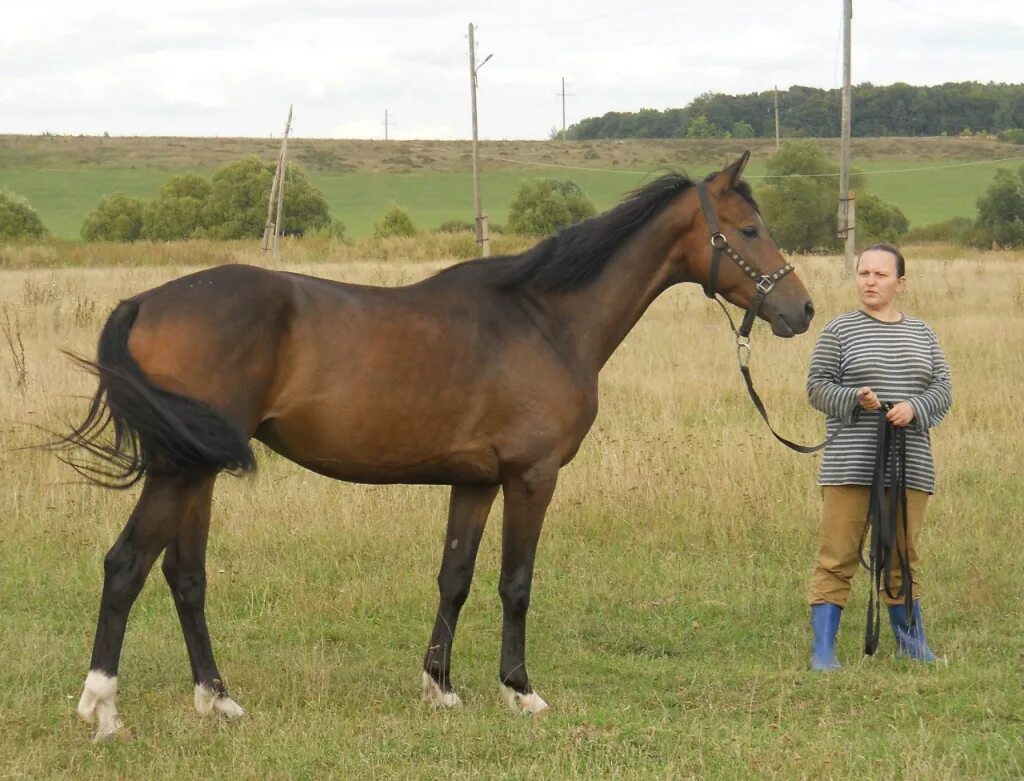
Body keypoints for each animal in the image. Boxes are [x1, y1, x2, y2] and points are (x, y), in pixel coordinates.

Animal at [64, 151, 815, 741]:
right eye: (750, 229)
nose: (801, 310)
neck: (545, 320)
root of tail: (146, 302)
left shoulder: (475, 481)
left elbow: (455, 576)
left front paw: (441, 686)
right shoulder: (532, 476)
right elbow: (516, 583)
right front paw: (520, 689)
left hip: (199, 467)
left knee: (184, 576)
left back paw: (217, 700)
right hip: (180, 471)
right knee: (126, 565)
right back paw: (102, 709)